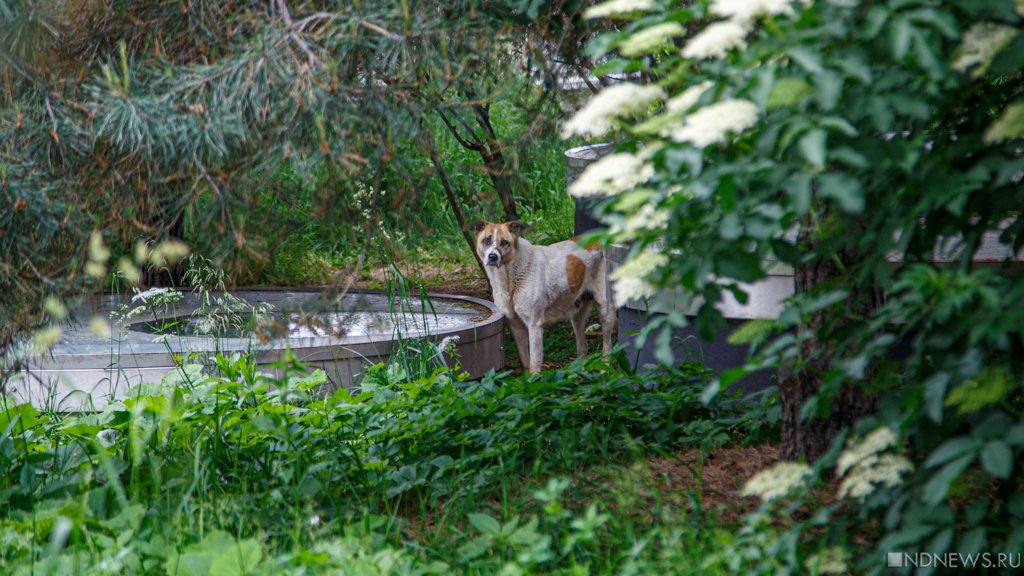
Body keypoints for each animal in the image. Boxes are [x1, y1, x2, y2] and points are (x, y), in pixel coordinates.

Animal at [471, 219, 614, 373]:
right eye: (487, 240)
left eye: (504, 242)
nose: (493, 257)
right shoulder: (515, 325)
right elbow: (525, 362)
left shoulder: (534, 325)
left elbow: (534, 363)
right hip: (576, 315)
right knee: (583, 347)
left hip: (605, 311)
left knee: (608, 347)